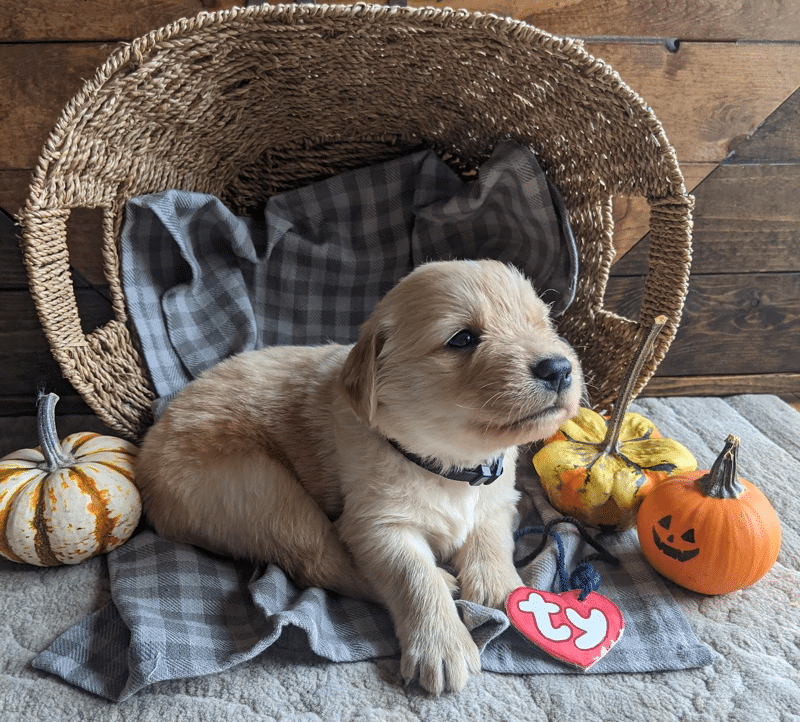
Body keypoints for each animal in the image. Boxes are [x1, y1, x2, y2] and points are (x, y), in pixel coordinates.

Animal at [136, 258, 580, 692]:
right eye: (462, 339)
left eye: (542, 324)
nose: (559, 368)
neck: (448, 465)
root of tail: (147, 461)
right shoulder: (377, 524)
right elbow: (413, 576)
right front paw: (441, 642)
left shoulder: (501, 498)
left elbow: (491, 540)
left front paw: (501, 587)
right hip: (263, 489)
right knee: (321, 563)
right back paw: (444, 581)